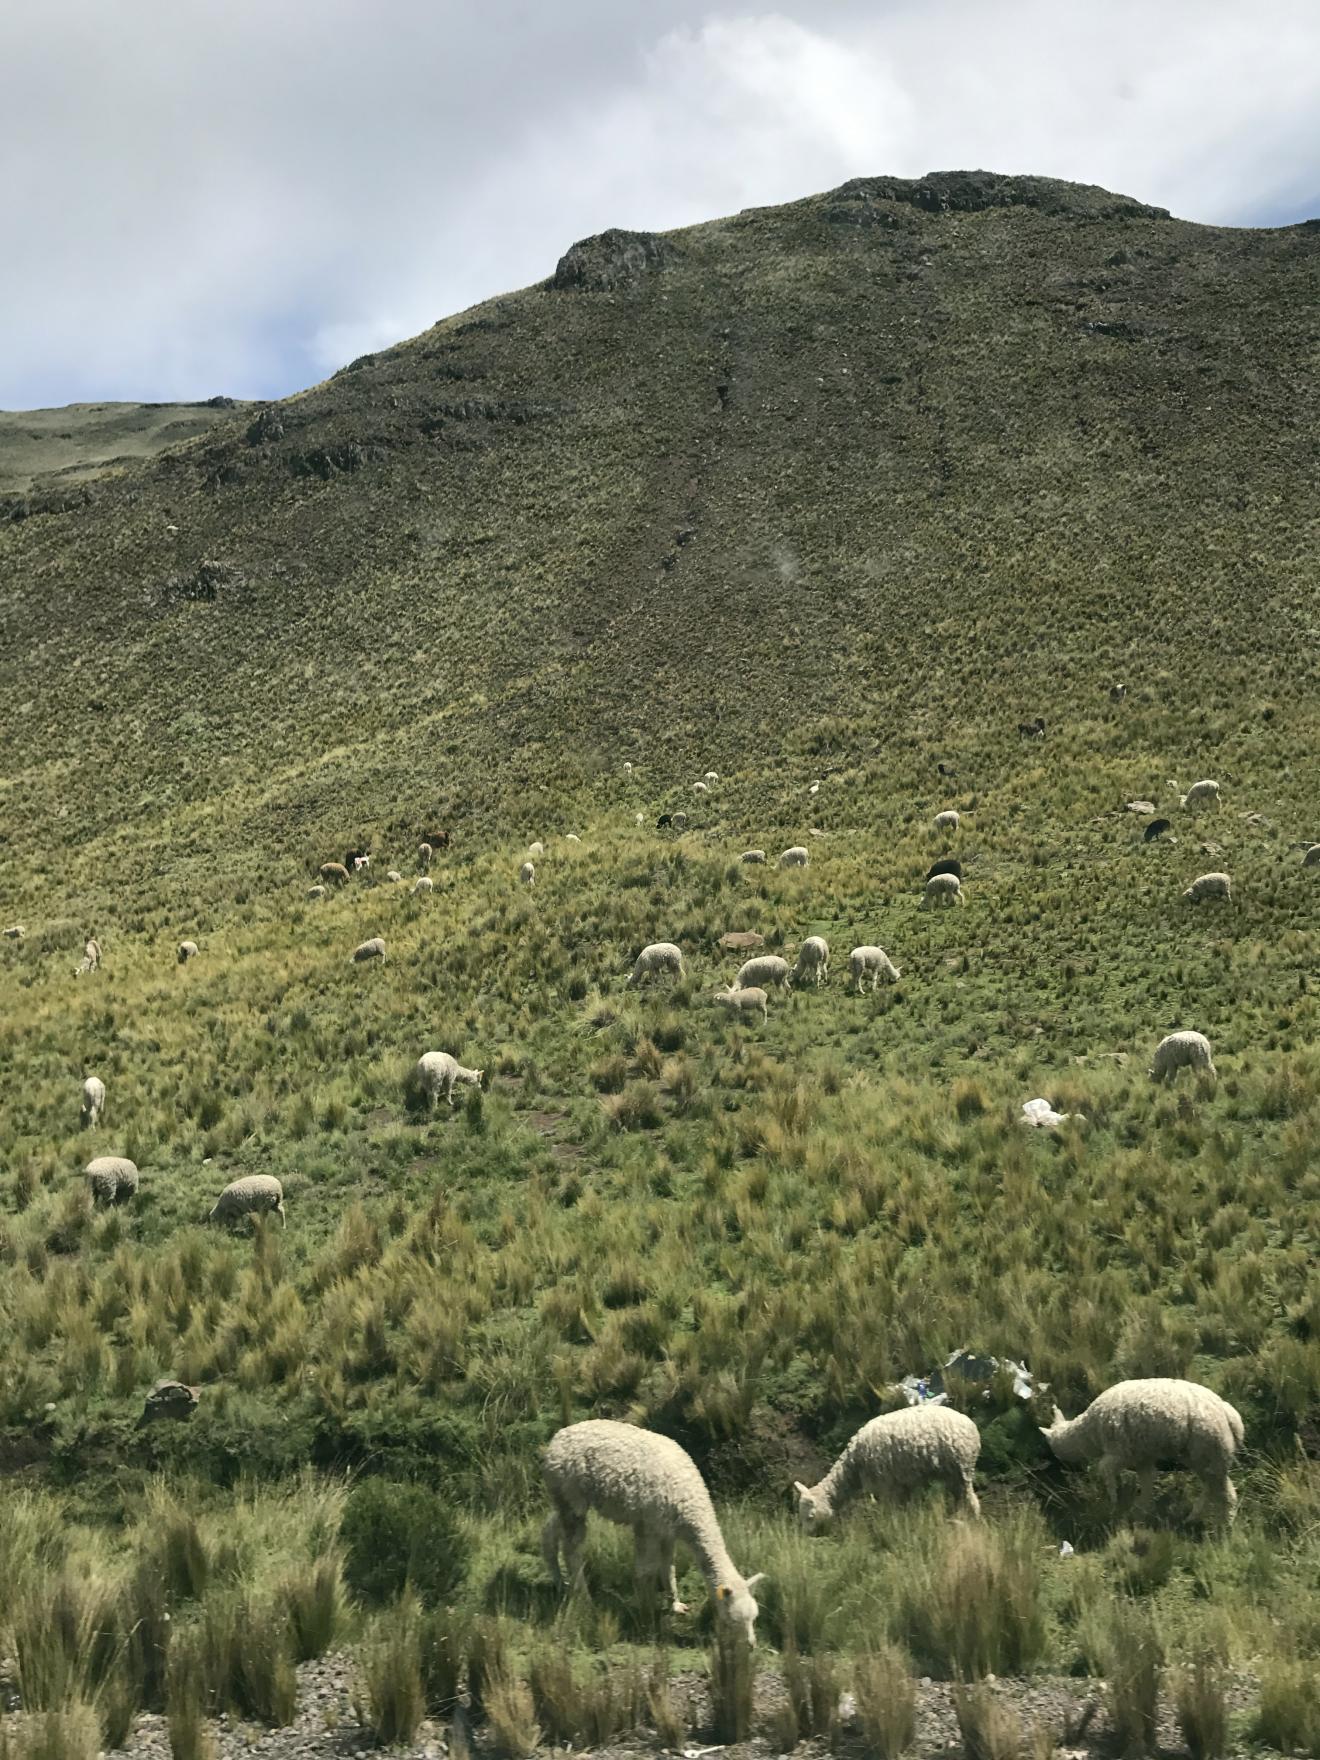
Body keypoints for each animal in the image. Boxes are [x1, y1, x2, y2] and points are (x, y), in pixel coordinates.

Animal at [538, 1408, 763, 1640]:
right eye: (734, 1621)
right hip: (572, 1494)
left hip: (564, 1498)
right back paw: (583, 1596)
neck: (689, 1502)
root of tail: (557, 1438)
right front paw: (645, 1615)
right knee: (571, 1549)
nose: (751, 1644)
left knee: (549, 1533)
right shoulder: (648, 1525)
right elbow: (645, 1571)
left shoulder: (667, 1530)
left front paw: (675, 1605)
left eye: (754, 1618)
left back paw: (560, 1582)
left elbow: (668, 1566)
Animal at [795, 1400, 985, 1527]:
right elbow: (905, 1506)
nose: (809, 1534)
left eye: (810, 1517)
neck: (854, 1465)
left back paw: (967, 1519)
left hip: (961, 1466)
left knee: (969, 1497)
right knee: (960, 1495)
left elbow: (891, 1509)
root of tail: (972, 1426)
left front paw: (890, 1526)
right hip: (952, 1471)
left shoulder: (887, 1483)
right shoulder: (902, 1482)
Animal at [1041, 1372, 1239, 1527]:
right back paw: (1193, 1517)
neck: (1089, 1434)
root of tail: (1231, 1416)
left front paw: (1114, 1501)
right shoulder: (1143, 1456)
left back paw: (1224, 1525)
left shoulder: (1121, 1452)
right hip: (1205, 1457)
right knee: (1212, 1488)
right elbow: (1147, 1481)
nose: (1063, 1468)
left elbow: (1105, 1470)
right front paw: (1141, 1512)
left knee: (1225, 1493)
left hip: (1210, 1453)